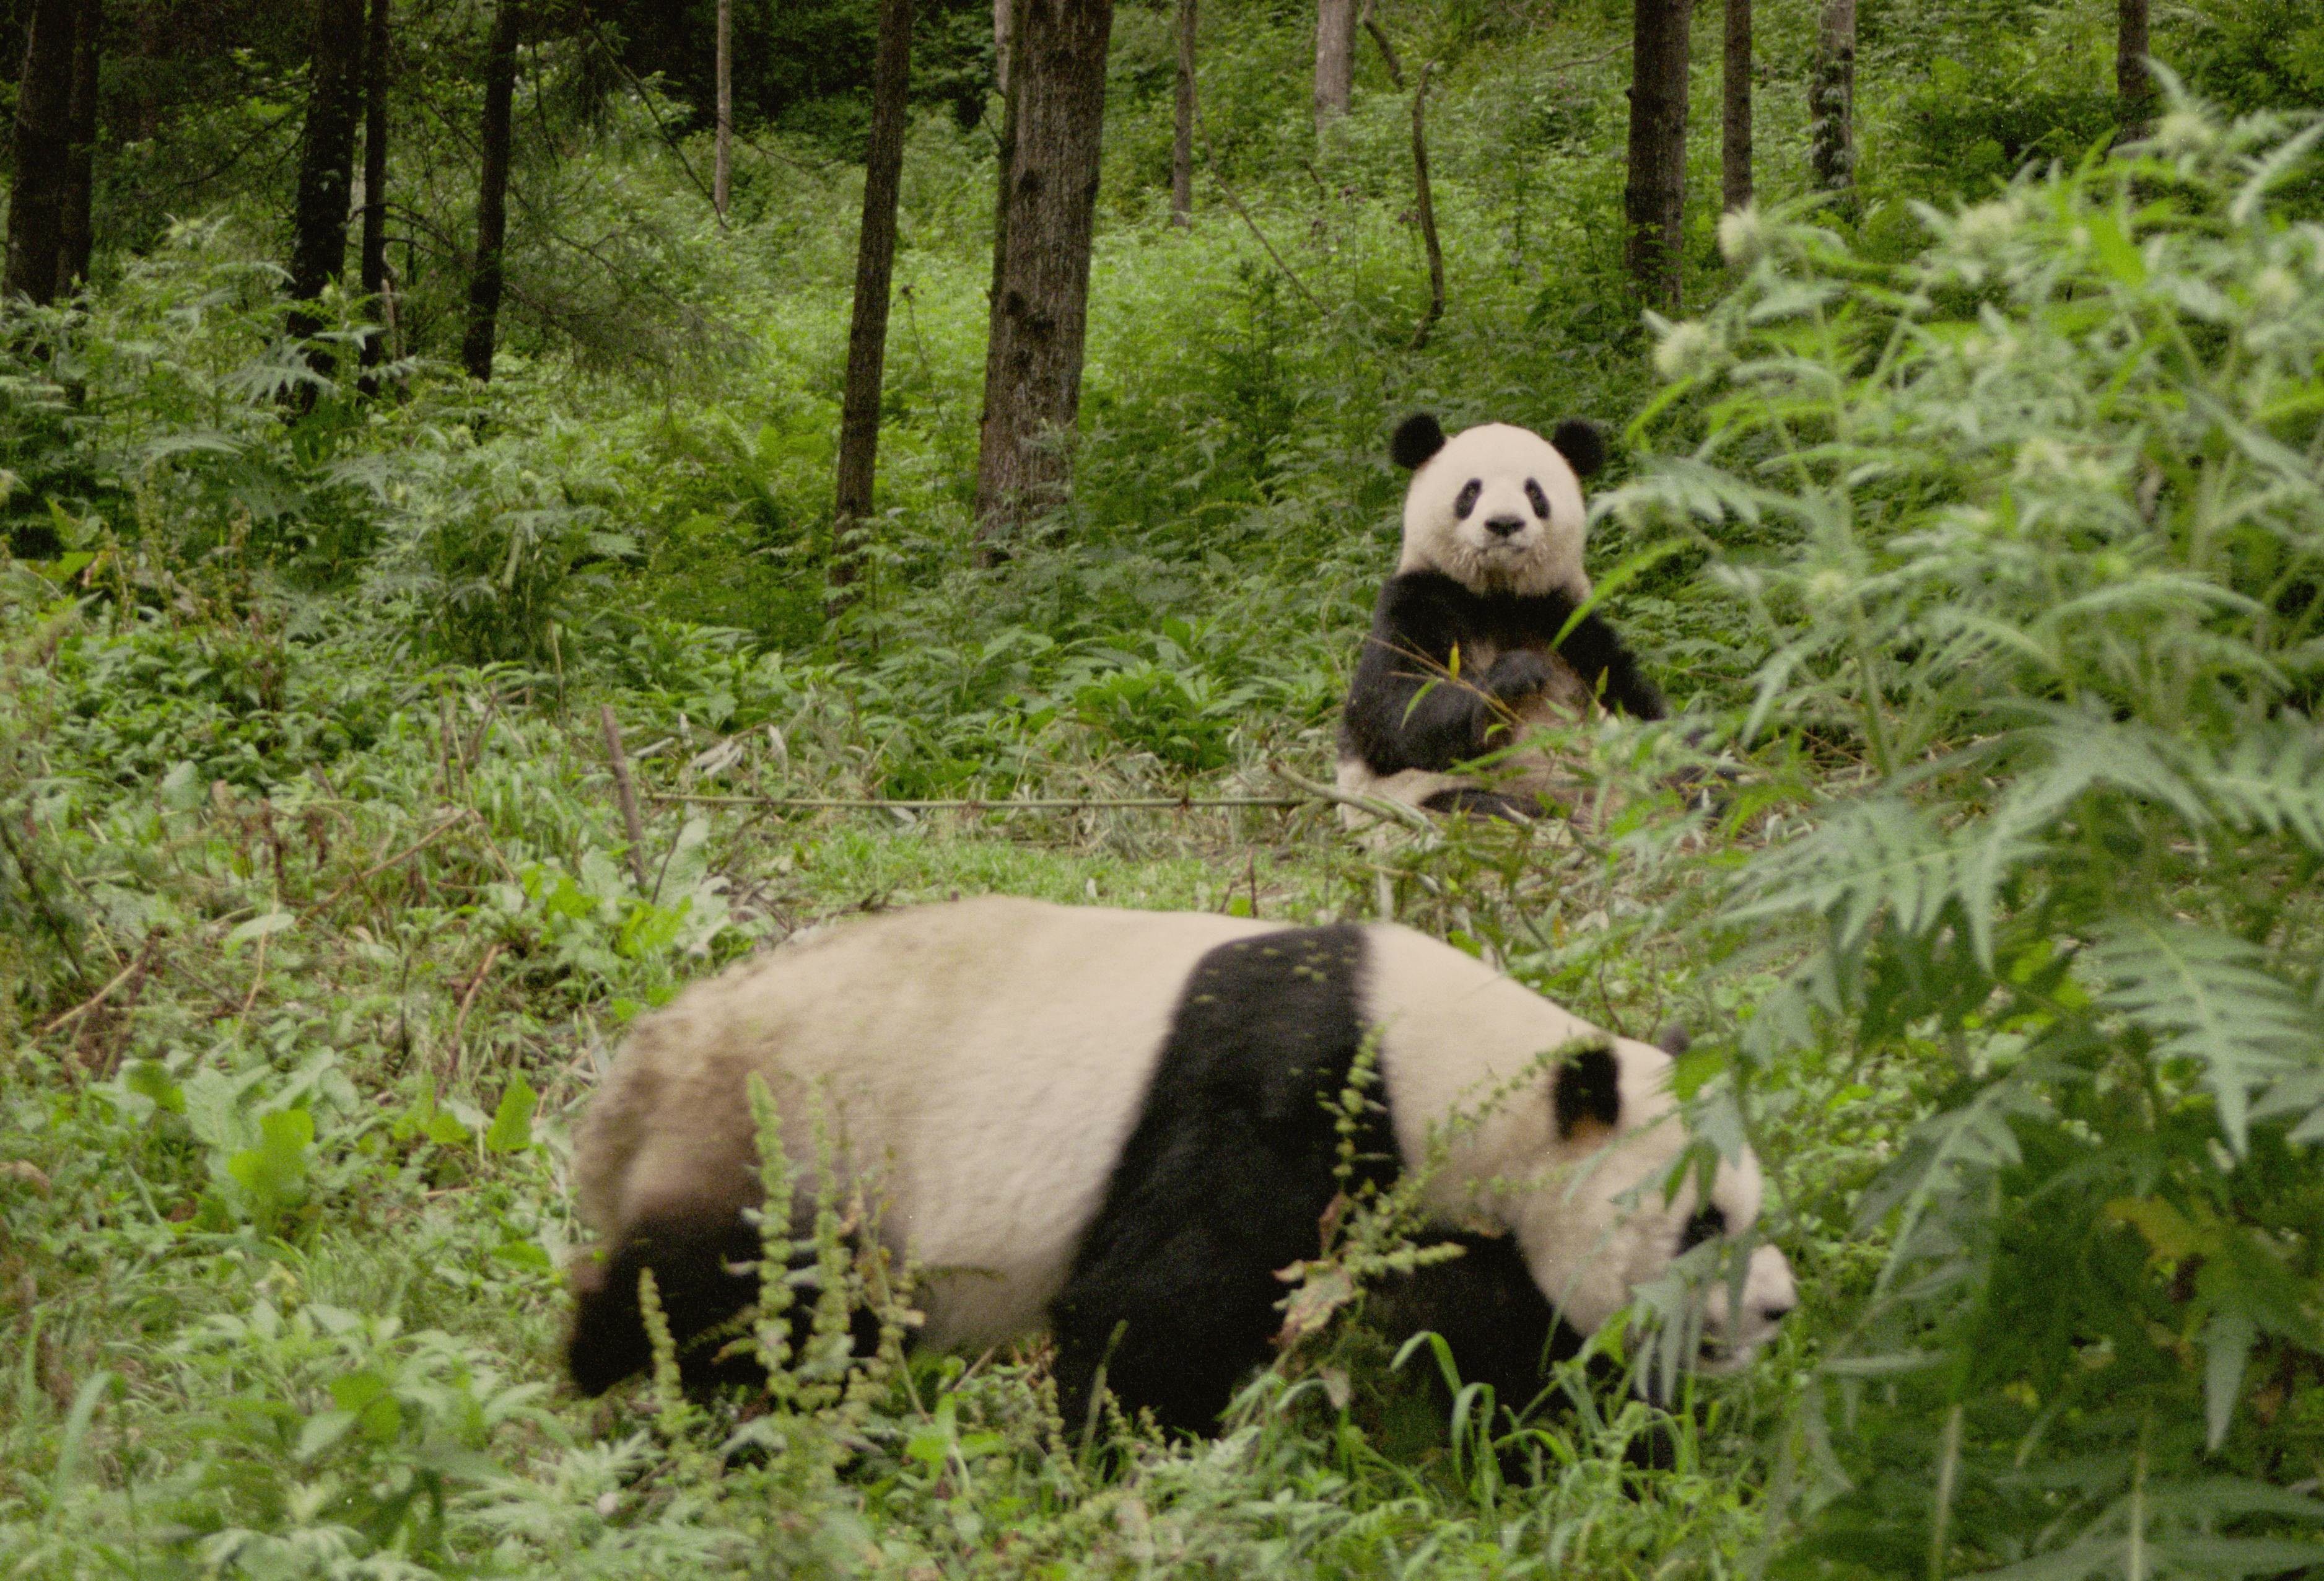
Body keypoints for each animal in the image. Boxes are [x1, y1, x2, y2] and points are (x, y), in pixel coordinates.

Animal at [565, 897, 1797, 1434]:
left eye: (1749, 1209)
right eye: (1703, 1224)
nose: (1779, 1310)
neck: (1444, 1059)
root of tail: (645, 1060)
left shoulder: (1453, 1210)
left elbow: (1500, 1339)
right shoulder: (1282, 1093)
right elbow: (1155, 1309)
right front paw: (1134, 1453)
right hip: (808, 1138)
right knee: (721, 1289)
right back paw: (607, 1381)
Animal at [1338, 413, 1671, 825]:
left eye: (1534, 493)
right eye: (1470, 492)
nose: (1504, 524)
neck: (1497, 596)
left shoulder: (1563, 619)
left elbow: (1636, 702)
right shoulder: (1417, 602)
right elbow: (1394, 714)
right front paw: (1516, 672)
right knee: (1478, 806)